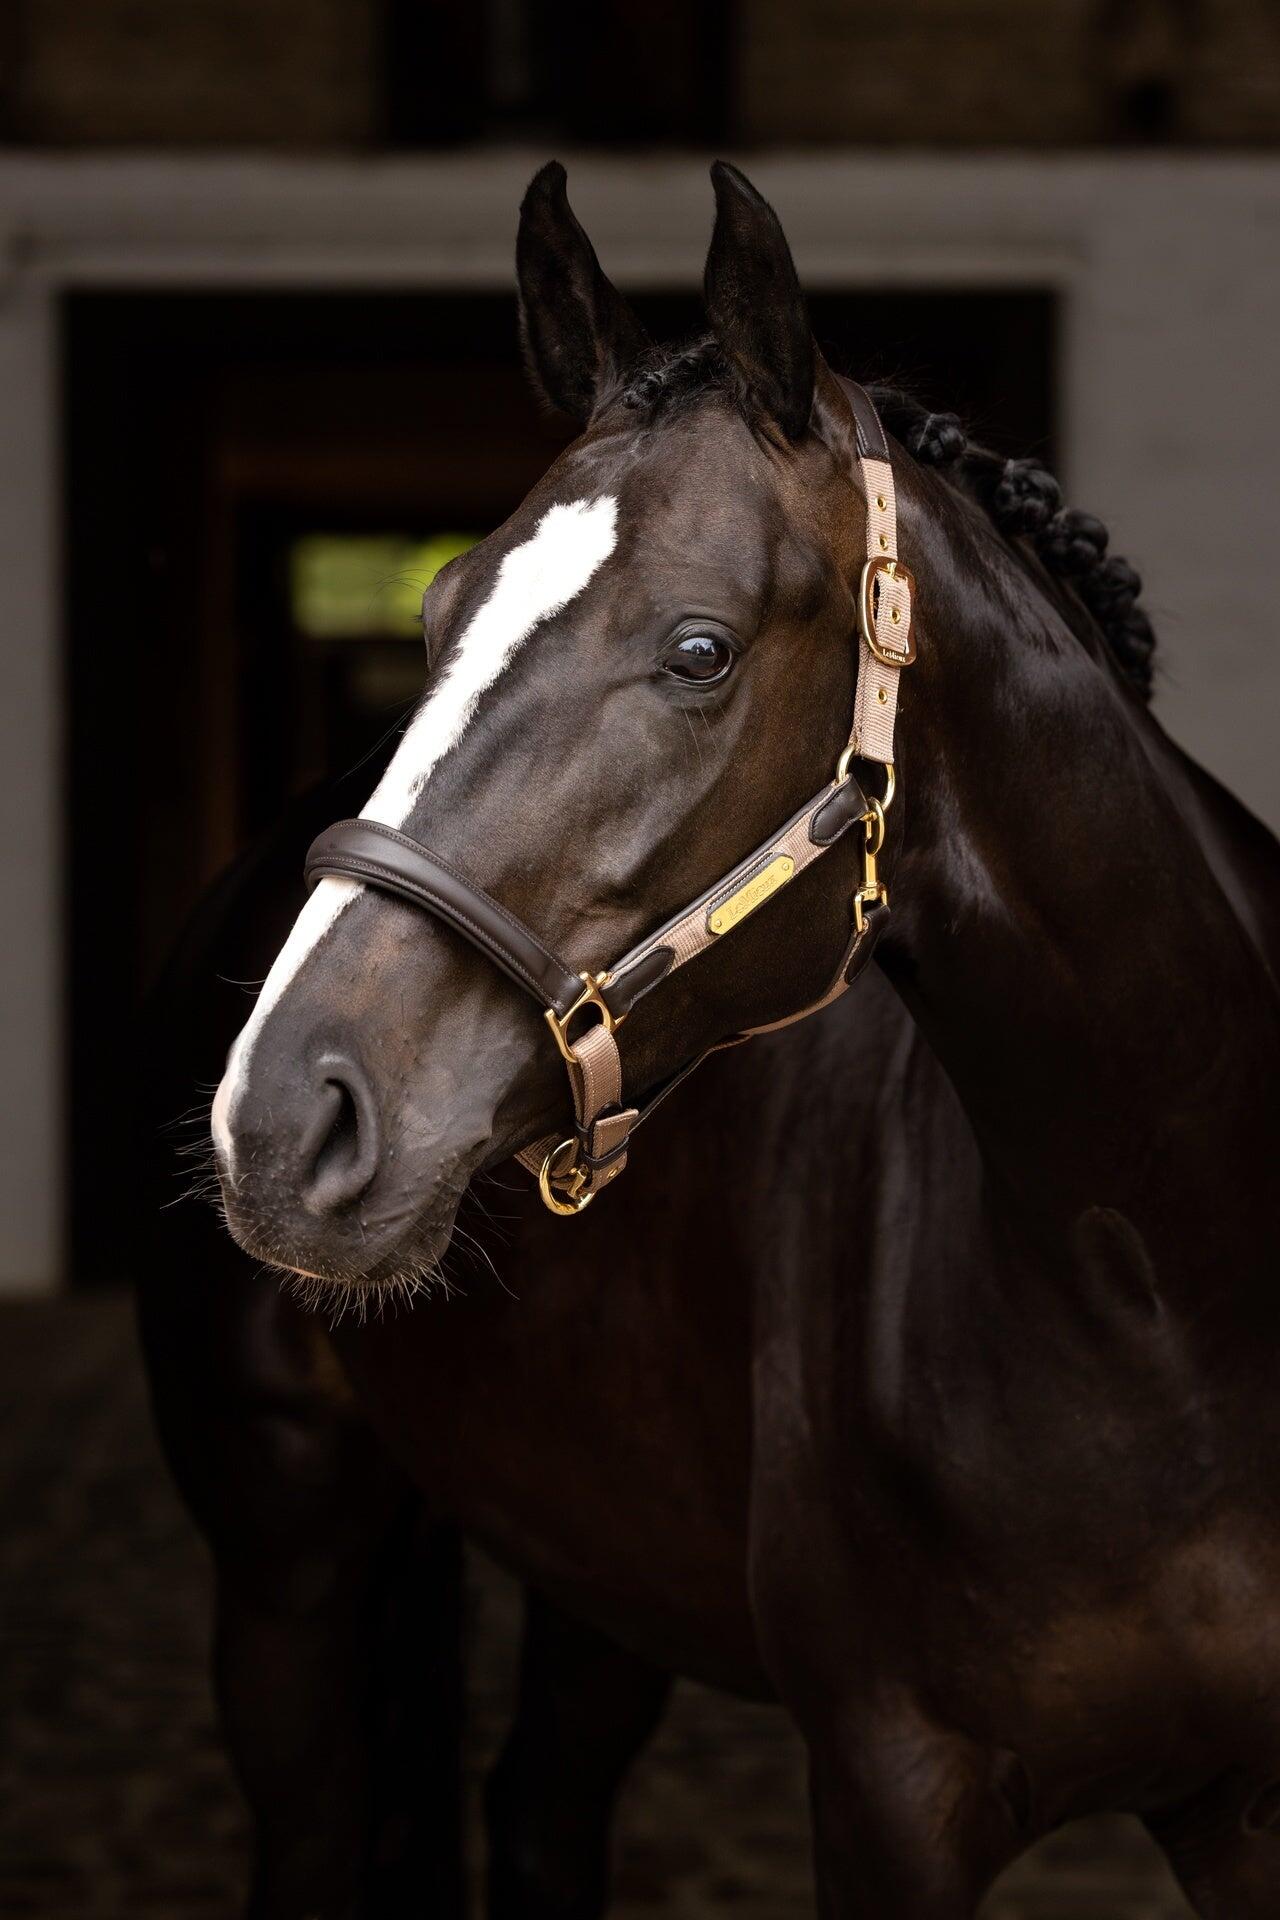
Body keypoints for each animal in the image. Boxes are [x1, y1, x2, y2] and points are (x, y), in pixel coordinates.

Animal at [140, 159, 1280, 1918]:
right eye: (441, 611)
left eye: (698, 650)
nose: (280, 1120)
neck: (1167, 1277)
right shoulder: (889, 1790)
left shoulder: (1248, 1809)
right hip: (287, 1561)